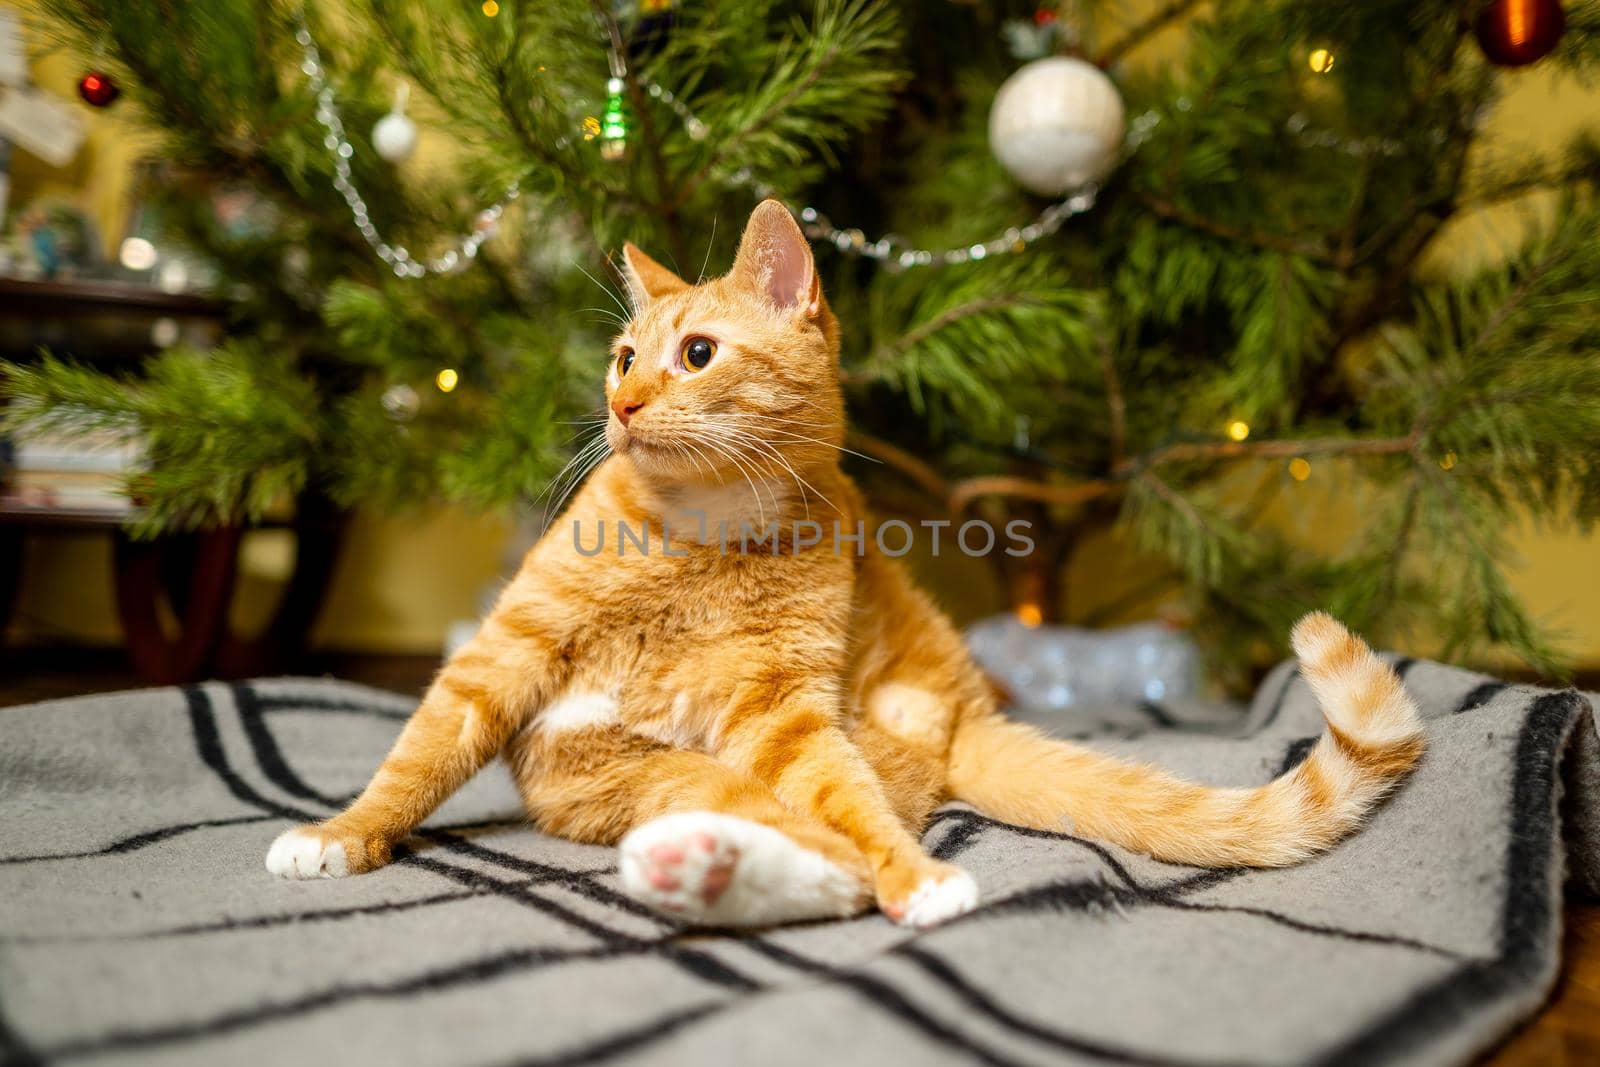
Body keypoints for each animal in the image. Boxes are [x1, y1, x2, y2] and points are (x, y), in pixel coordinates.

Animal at [268, 199, 1433, 927]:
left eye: (696, 354)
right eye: (623, 356)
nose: (624, 405)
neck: (696, 539)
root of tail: (966, 707)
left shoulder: (786, 712)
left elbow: (853, 816)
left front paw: (917, 879)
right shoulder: (499, 656)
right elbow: (414, 757)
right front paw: (341, 834)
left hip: (804, 750)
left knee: (836, 839)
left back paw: (728, 874)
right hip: (648, 779)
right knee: (786, 834)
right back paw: (700, 866)